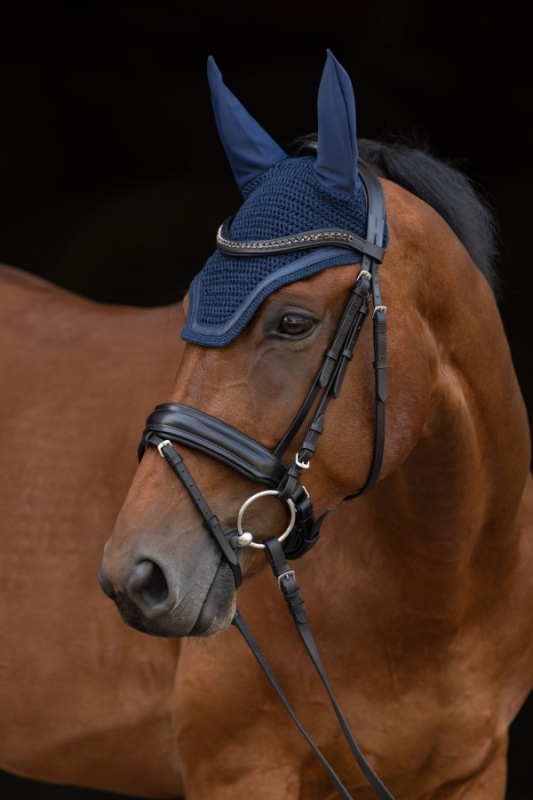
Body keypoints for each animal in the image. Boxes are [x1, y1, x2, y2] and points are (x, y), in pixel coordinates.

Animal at [0, 49, 531, 800]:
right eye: (189, 304)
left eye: (293, 322)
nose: (139, 575)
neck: (443, 596)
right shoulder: (240, 769)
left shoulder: (474, 773)